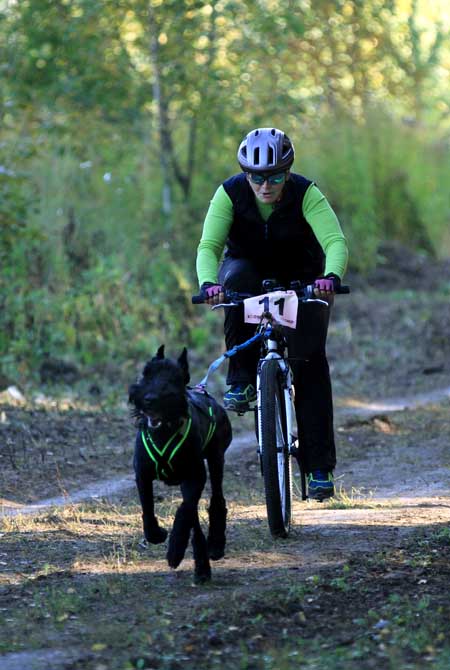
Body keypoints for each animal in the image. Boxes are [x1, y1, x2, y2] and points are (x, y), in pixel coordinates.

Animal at [127, 346, 232, 584]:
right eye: (147, 374)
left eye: (172, 379)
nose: (149, 398)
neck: (164, 431)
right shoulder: (142, 473)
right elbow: (148, 507)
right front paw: (156, 534)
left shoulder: (194, 476)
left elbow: (185, 510)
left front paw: (175, 550)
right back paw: (202, 565)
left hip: (216, 460)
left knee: (216, 500)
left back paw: (214, 547)